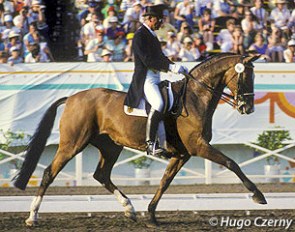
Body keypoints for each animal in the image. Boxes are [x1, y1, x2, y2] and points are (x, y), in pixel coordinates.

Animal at [13, 53, 268, 227]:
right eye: (245, 76)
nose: (248, 108)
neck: (195, 98)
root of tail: (73, 97)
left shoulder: (182, 154)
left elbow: (165, 182)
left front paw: (152, 215)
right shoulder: (198, 146)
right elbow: (231, 163)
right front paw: (258, 195)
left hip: (110, 146)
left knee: (102, 175)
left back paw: (130, 209)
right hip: (73, 144)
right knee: (50, 173)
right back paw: (32, 216)